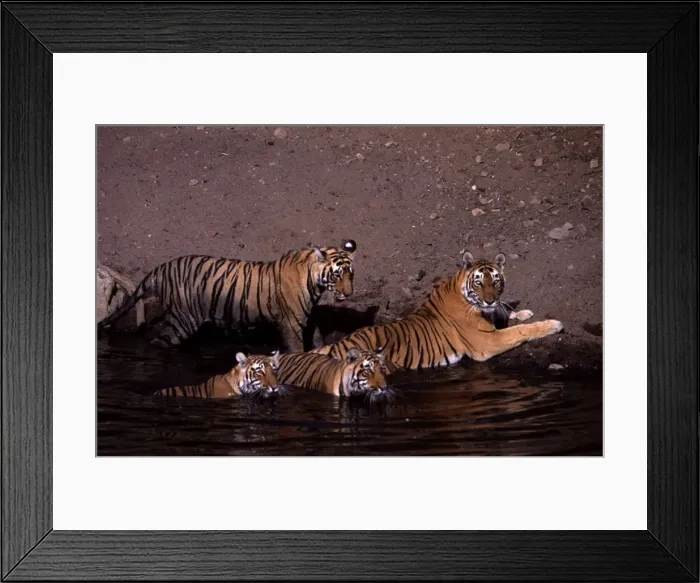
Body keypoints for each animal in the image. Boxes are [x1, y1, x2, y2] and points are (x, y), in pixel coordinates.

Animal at [97, 240, 357, 351]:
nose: (348, 293)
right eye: (337, 275)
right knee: (159, 342)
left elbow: (318, 339)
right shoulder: (291, 322)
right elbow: (296, 348)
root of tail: (161, 268)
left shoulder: (309, 317)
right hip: (184, 320)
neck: (315, 284)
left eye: (350, 275)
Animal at [312, 250, 563, 371]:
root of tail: (337, 345)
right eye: (479, 282)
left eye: (496, 281)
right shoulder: (486, 342)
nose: (490, 300)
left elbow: (504, 312)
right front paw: (553, 324)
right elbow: (520, 331)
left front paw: (521, 312)